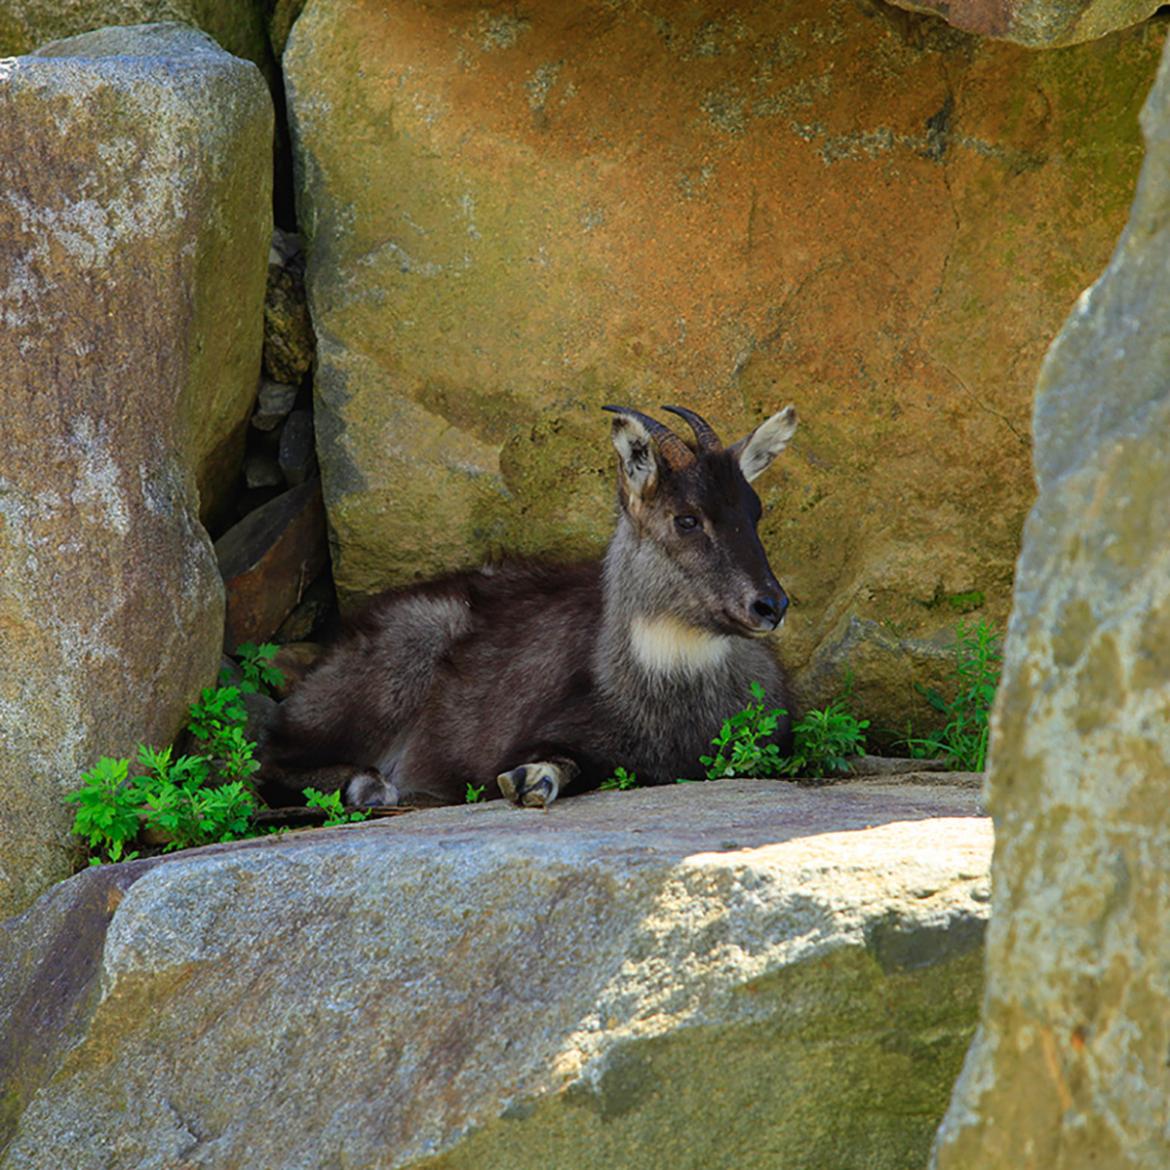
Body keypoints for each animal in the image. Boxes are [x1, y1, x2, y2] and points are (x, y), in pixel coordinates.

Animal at [260, 407, 800, 809]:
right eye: (686, 519)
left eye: (754, 512)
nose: (770, 605)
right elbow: (558, 762)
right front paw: (528, 778)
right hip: (387, 673)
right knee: (271, 756)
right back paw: (371, 785)